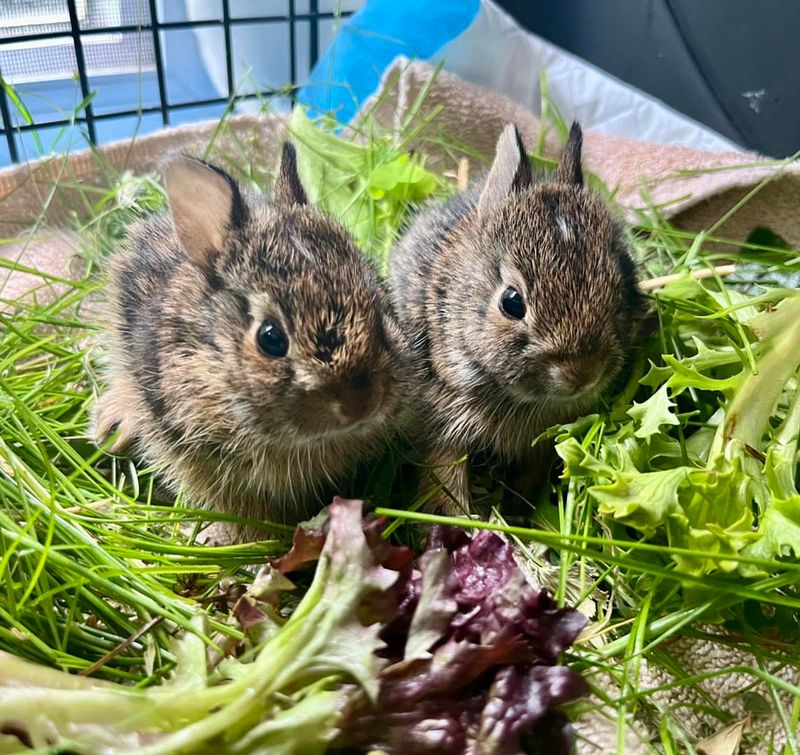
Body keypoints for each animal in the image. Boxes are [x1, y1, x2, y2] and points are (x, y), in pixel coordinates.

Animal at [389, 122, 644, 515]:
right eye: (512, 302)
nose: (582, 374)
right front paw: (462, 520)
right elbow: (445, 477)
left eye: (621, 282)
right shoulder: (441, 420)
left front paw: (519, 512)